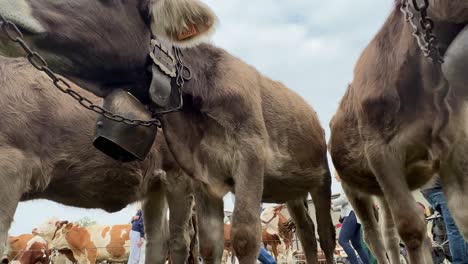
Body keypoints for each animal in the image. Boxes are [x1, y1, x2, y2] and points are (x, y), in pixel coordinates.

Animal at [0, 1, 336, 262]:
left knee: (325, 234)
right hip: (289, 189)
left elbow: (243, 236)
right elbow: (210, 246)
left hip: (321, 177)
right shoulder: (203, 176)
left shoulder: (248, 156)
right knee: (306, 233)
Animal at [330, 0, 468, 264]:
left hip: (380, 191)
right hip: (353, 188)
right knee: (372, 234)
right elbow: (411, 228)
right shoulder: (380, 153)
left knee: (389, 234)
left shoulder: (451, 146)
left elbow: (461, 212)